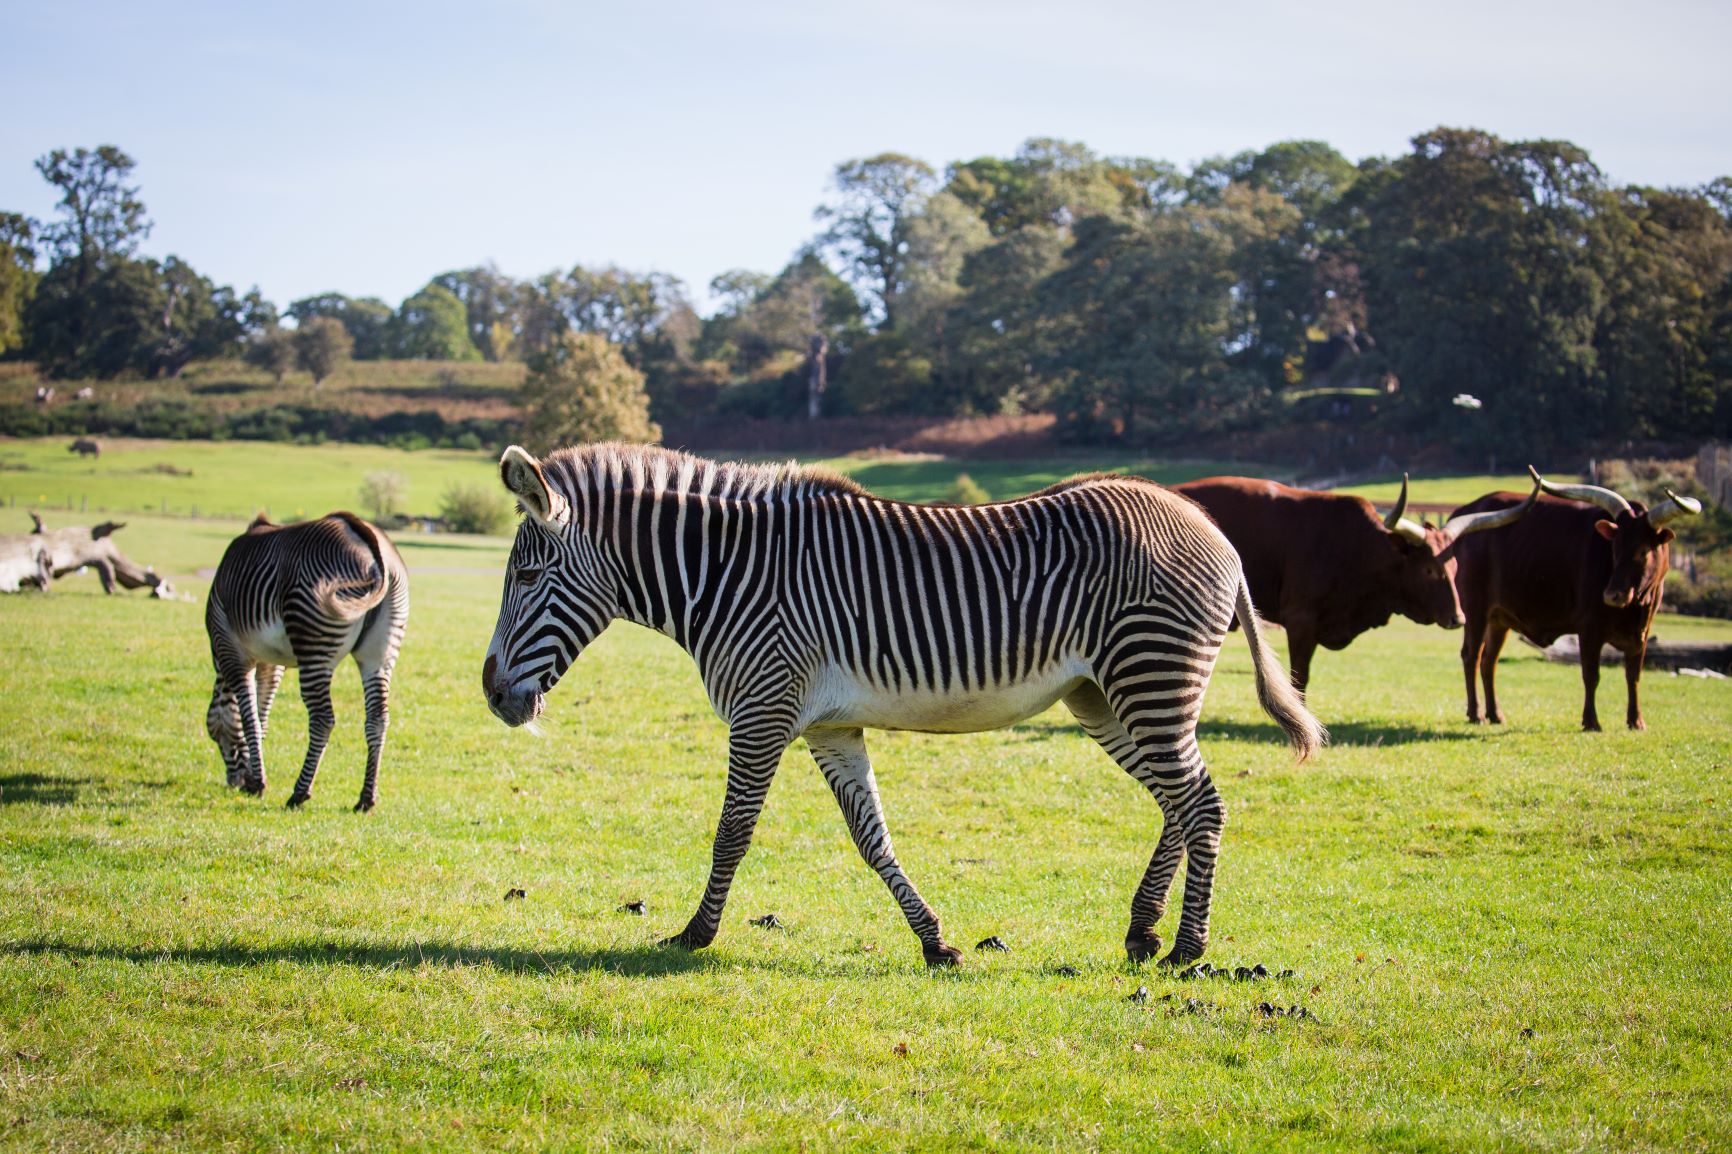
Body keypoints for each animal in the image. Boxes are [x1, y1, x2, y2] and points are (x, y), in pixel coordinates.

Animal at [206, 512, 408, 807]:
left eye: (215, 735)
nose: (235, 783)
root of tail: (370, 546)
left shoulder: (231, 651)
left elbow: (248, 717)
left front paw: (257, 783)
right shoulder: (271, 662)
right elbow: (261, 714)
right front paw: (257, 774)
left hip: (314, 645)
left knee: (323, 719)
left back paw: (299, 793)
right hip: (379, 653)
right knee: (378, 718)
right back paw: (366, 798)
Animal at [481, 440, 1316, 963]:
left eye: (524, 576)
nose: (490, 693)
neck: (725, 574)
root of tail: (1210, 528)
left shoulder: (762, 709)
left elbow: (732, 833)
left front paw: (695, 935)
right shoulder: (829, 726)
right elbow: (872, 838)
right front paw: (935, 941)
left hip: (1149, 678)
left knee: (1202, 804)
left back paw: (1186, 948)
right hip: (1104, 698)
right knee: (1180, 803)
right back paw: (1144, 932)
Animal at [1447, 464, 1704, 727]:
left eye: (1643, 551)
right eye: (1615, 548)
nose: (1612, 594)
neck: (1635, 607)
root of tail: (1467, 509)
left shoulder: (1642, 632)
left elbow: (1633, 676)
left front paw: (1636, 720)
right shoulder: (1589, 627)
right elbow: (1591, 674)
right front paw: (1591, 721)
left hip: (1499, 618)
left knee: (1489, 661)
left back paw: (1495, 714)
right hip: (1474, 610)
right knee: (1471, 656)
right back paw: (1476, 713)